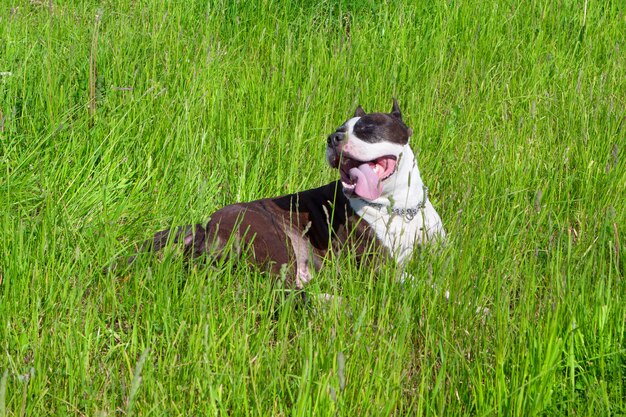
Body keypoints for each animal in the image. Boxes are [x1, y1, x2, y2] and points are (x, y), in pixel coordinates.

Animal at [141, 99, 444, 288]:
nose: (333, 138)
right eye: (339, 130)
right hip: (272, 241)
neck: (401, 208)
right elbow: (429, 285)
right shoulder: (382, 268)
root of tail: (205, 226)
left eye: (367, 128)